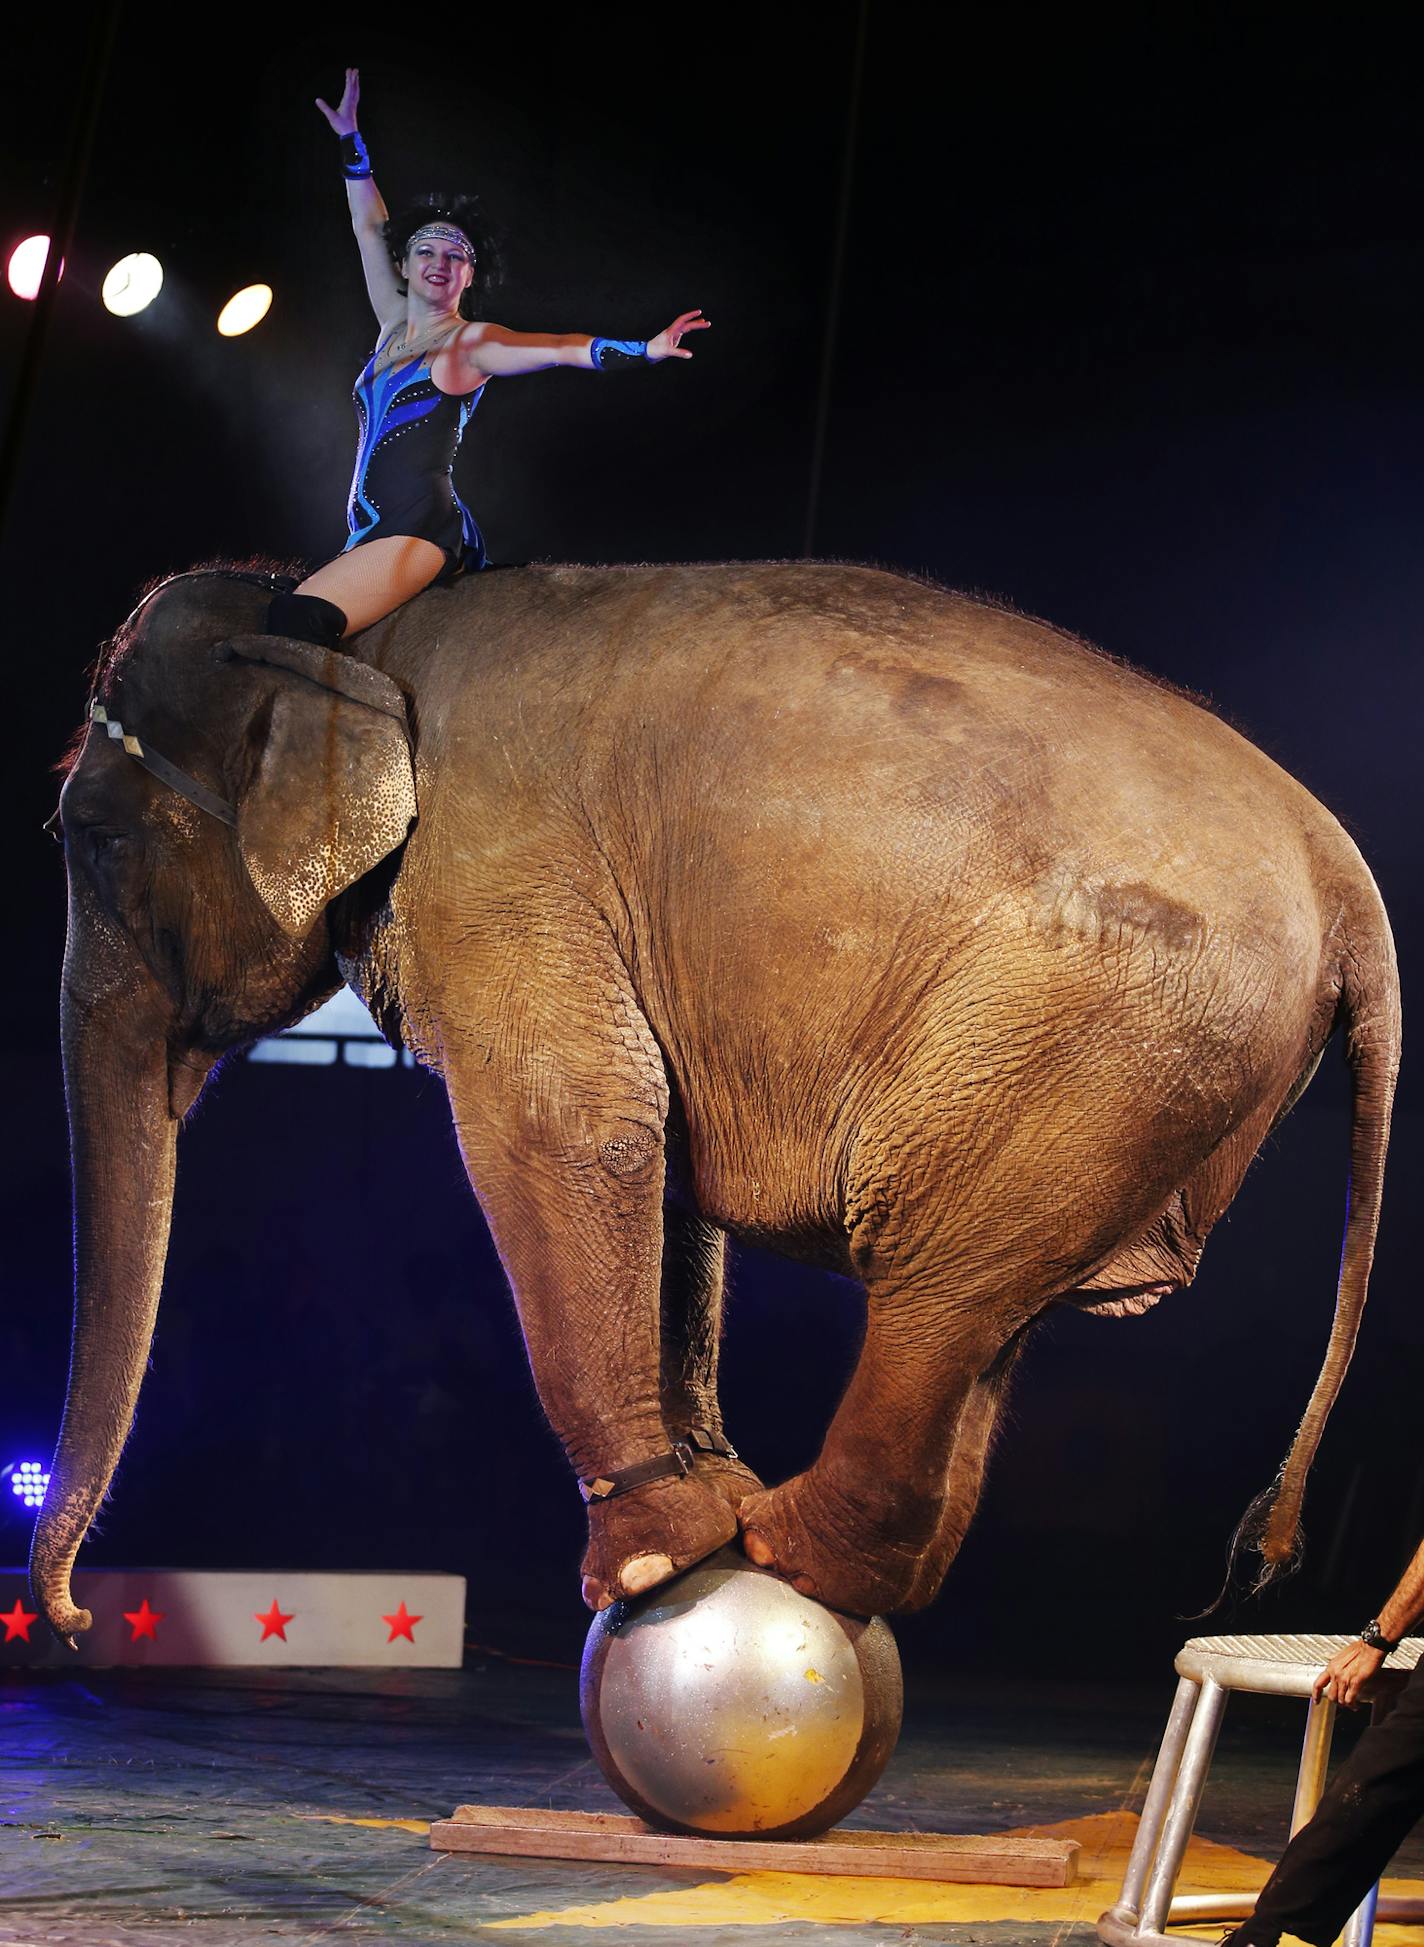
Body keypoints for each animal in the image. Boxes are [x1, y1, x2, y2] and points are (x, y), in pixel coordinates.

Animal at [30, 560, 1394, 1643]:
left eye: (89, 838)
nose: (75, 1616)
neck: (348, 640)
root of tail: (1348, 884)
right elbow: (664, 1167)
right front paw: (704, 1497)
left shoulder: (492, 869)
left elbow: (574, 1126)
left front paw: (647, 1557)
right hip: (1134, 1086)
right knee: (992, 1312)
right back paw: (830, 1551)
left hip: (1085, 1044)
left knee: (936, 1288)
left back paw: (790, 1548)